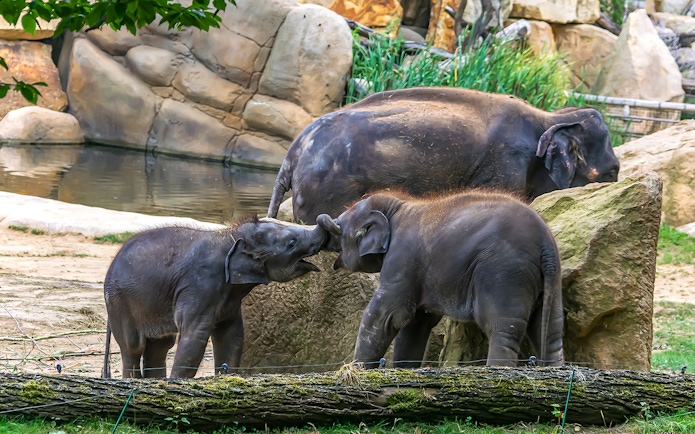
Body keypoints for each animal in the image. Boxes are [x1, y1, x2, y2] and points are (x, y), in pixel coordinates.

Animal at [101, 217, 327, 379]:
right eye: (292, 243)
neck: (230, 235)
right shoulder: (200, 286)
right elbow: (194, 337)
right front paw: (177, 383)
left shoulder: (229, 299)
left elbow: (231, 336)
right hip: (119, 302)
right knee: (133, 347)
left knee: (160, 346)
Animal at [268, 87, 620, 224]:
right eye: (612, 174)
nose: (615, 174)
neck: (550, 116)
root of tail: (291, 156)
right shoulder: (507, 162)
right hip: (327, 188)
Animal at [316, 190, 564, 368]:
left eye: (339, 229)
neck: (397, 207)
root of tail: (545, 242)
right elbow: (416, 322)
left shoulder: (402, 259)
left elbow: (387, 315)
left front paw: (352, 372)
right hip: (550, 279)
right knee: (550, 332)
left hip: (504, 272)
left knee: (501, 328)